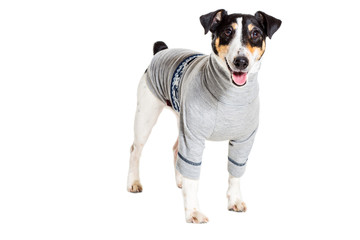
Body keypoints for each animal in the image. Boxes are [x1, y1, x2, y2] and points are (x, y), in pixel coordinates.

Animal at [126, 9, 282, 223]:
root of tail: (161, 50)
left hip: (180, 118)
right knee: (136, 149)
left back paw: (180, 180)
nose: (241, 62)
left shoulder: (244, 140)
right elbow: (193, 175)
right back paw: (134, 182)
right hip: (146, 116)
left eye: (256, 33)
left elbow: (235, 173)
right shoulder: (193, 136)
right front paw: (193, 211)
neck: (231, 95)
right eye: (227, 31)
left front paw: (235, 200)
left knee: (176, 149)